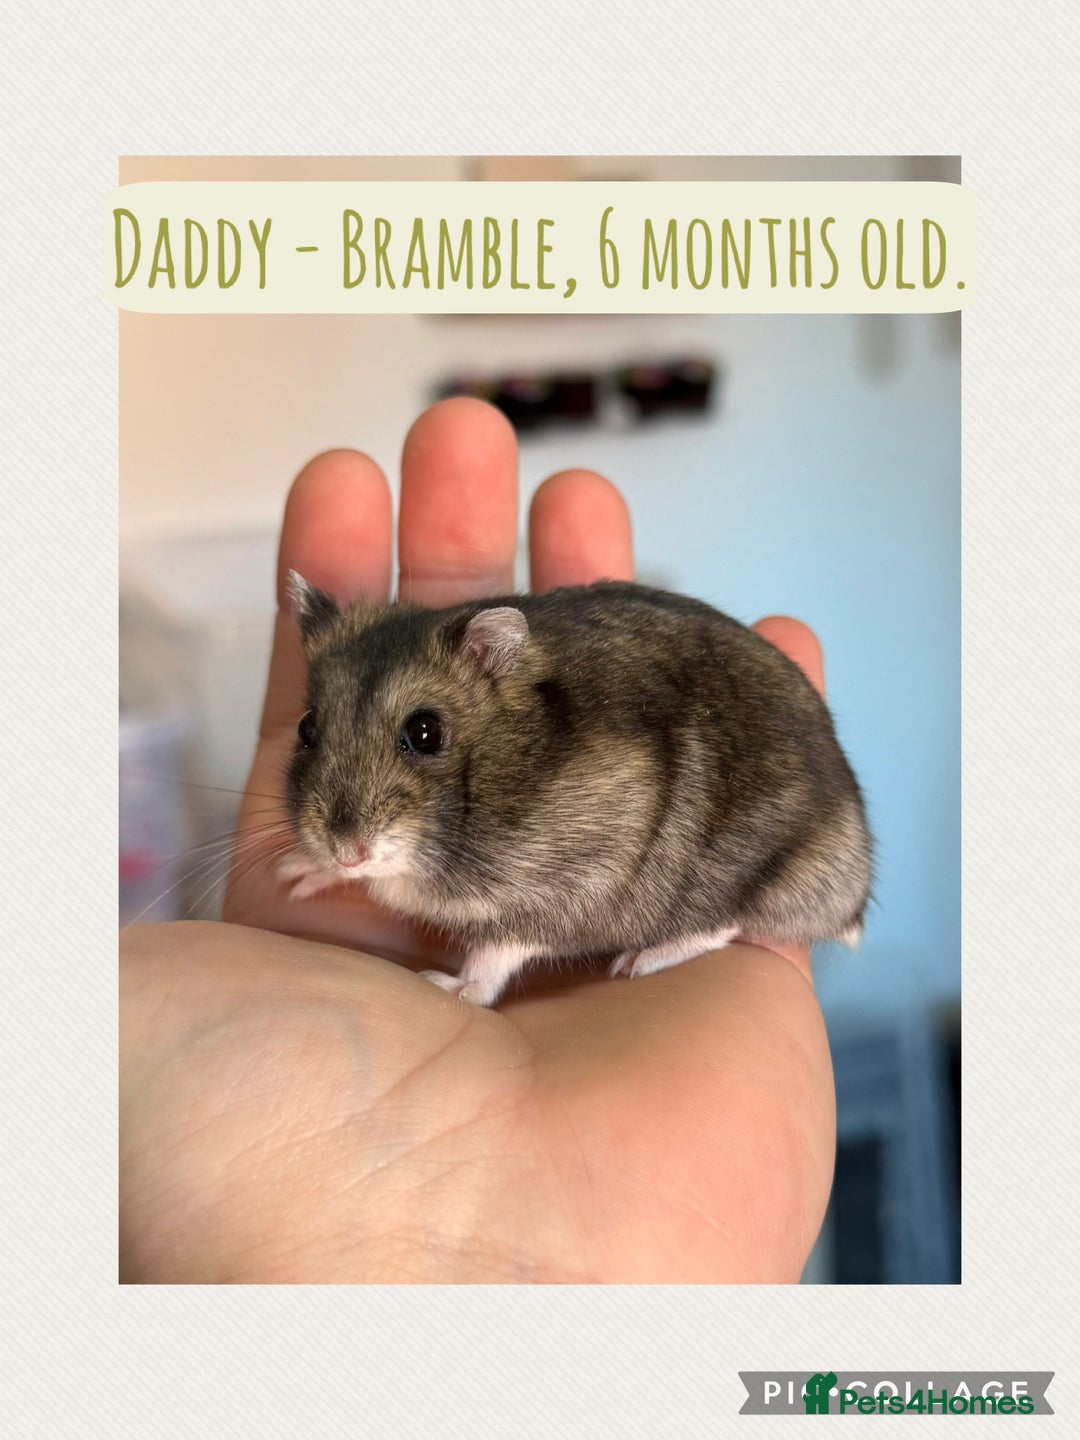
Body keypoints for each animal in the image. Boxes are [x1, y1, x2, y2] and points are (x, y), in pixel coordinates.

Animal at [279, 573, 873, 1006]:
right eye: (306, 728)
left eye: (425, 732)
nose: (346, 851)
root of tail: (856, 892)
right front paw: (296, 874)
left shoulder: (558, 892)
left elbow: (495, 955)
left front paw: (447, 987)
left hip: (756, 879)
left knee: (724, 923)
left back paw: (636, 962)